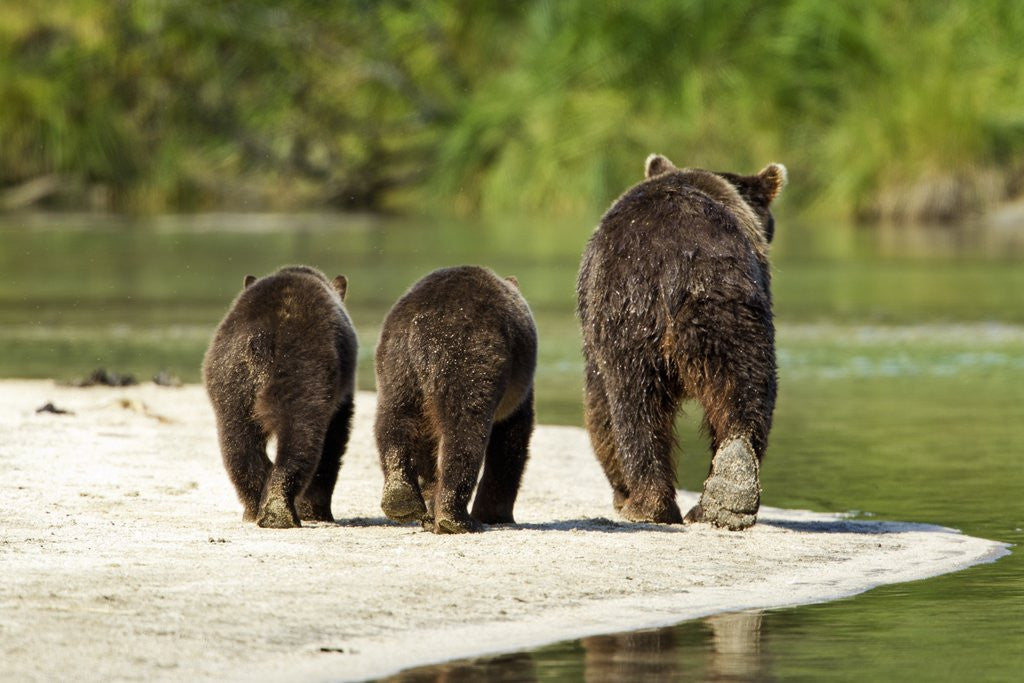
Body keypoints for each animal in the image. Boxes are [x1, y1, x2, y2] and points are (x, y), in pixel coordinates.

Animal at [202, 265, 357, 528]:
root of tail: (260, 339)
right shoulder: (340, 395)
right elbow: (334, 440)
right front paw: (317, 510)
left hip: (230, 380)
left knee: (237, 442)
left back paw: (254, 507)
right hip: (303, 371)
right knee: (299, 436)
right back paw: (280, 510)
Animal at [374, 265, 537, 534]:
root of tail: (422, 322)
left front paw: (428, 511)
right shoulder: (517, 393)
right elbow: (511, 439)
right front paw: (495, 513)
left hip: (397, 362)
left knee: (394, 420)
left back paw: (400, 499)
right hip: (469, 357)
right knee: (463, 433)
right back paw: (457, 518)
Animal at [576, 153, 786, 530]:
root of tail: (680, 264)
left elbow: (598, 408)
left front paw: (621, 491)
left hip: (629, 319)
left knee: (632, 406)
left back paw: (647, 505)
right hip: (731, 313)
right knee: (746, 391)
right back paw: (728, 493)